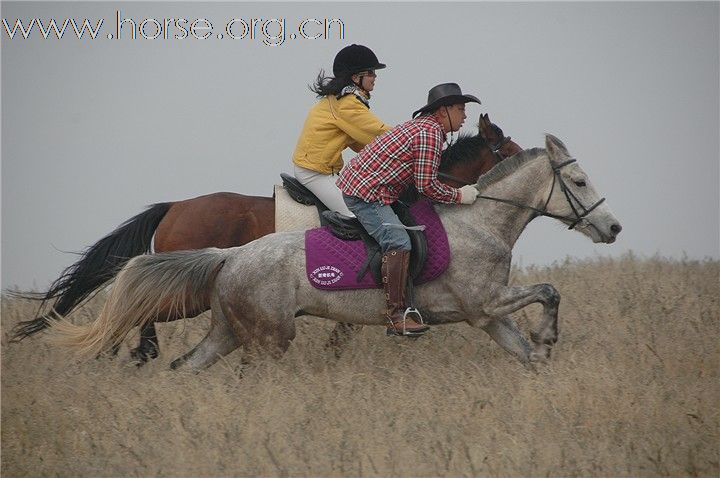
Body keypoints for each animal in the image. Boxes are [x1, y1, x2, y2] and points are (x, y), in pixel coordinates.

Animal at [9, 115, 516, 362]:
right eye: (506, 149)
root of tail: (175, 206)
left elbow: (348, 327)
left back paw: (125, 351)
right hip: (189, 290)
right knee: (142, 308)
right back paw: (131, 351)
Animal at [50, 134, 620, 370]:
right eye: (578, 180)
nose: (613, 227)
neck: (479, 222)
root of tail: (230, 257)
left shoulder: (484, 315)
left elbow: (527, 350)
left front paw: (542, 351)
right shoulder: (485, 303)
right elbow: (549, 290)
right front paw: (547, 335)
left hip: (230, 328)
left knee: (186, 361)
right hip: (253, 330)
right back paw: (128, 353)